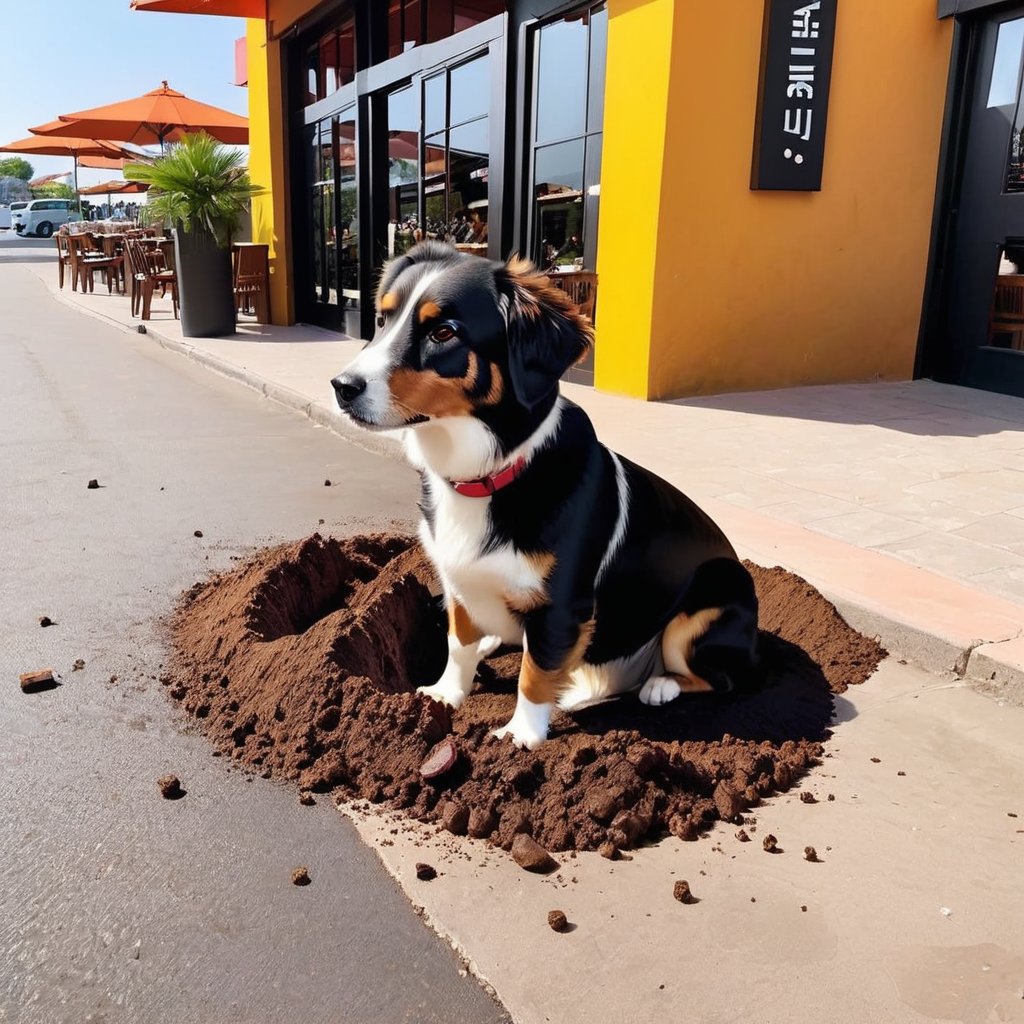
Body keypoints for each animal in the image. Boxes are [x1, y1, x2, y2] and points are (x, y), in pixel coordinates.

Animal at [331, 243, 757, 749]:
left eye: (443, 332)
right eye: (382, 319)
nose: (342, 387)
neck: (488, 474)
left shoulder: (559, 608)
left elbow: (533, 675)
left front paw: (520, 735)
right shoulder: (458, 584)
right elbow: (458, 645)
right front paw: (446, 694)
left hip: (710, 598)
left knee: (721, 677)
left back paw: (659, 685)